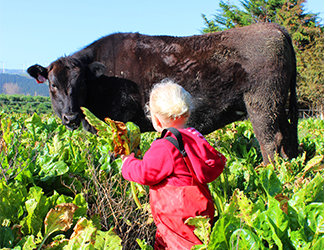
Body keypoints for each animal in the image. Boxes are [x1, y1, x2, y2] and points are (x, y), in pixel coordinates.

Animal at [26, 23, 298, 164]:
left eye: (80, 82)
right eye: (52, 85)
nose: (70, 117)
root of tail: (272, 28)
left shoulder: (118, 121)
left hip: (262, 104)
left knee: (270, 140)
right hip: (279, 106)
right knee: (288, 137)